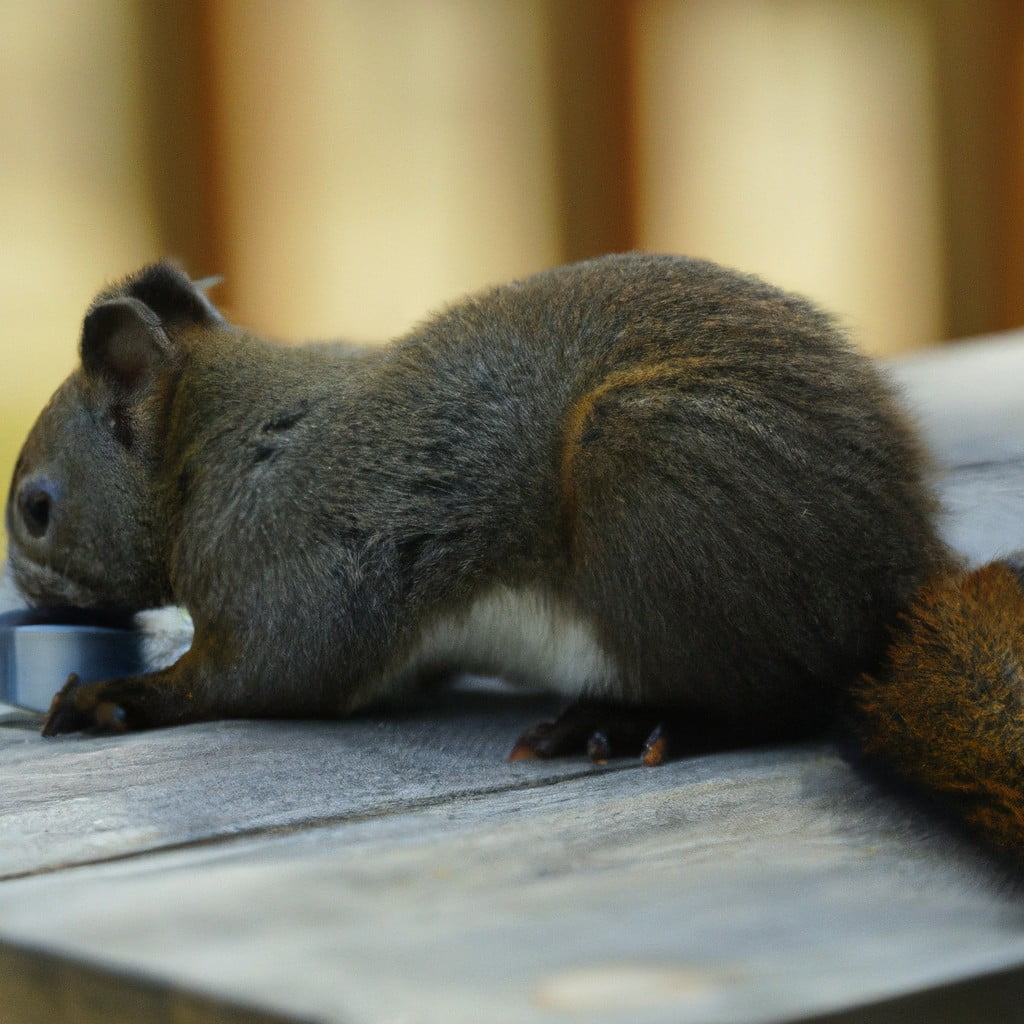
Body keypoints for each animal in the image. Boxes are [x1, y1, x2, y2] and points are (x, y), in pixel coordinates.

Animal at [8, 253, 1024, 864]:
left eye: (35, 511)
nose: (22, 583)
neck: (214, 446)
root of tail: (901, 577)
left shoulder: (296, 566)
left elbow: (262, 676)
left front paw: (117, 697)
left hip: (655, 471)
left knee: (788, 692)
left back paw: (633, 721)